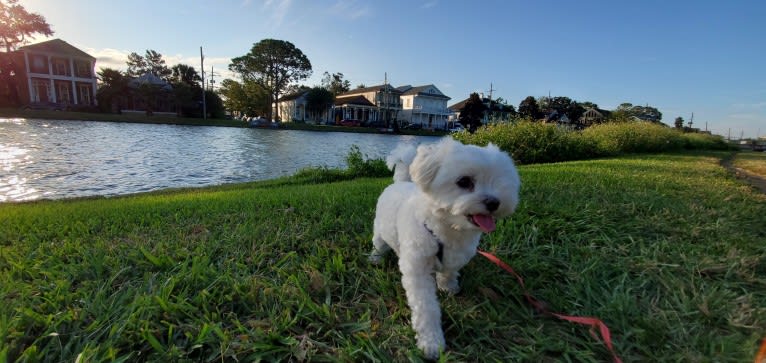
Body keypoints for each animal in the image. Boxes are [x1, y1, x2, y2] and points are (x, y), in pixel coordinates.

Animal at [370, 138, 520, 360]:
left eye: (498, 180)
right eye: (464, 181)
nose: (494, 202)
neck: (446, 229)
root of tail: (399, 182)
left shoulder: (457, 255)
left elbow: (449, 271)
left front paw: (448, 286)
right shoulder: (417, 269)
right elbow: (426, 308)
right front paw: (431, 341)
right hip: (381, 229)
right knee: (379, 243)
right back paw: (376, 257)